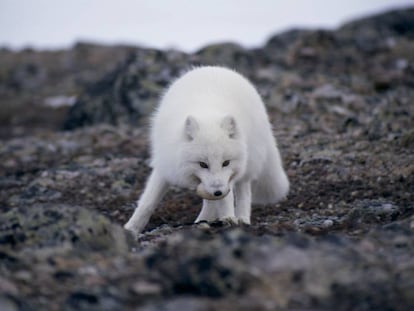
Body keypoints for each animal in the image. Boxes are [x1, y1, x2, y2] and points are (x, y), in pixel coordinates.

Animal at [124, 66, 290, 236]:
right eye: (203, 164)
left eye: (225, 163)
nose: (218, 192)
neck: (206, 114)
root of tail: (217, 68)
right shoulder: (166, 166)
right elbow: (148, 202)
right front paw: (131, 228)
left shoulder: (226, 180)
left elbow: (226, 198)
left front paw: (229, 218)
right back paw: (202, 221)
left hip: (247, 163)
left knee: (243, 191)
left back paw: (241, 219)